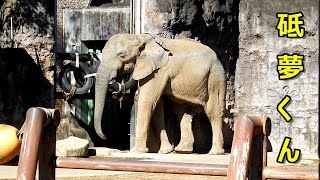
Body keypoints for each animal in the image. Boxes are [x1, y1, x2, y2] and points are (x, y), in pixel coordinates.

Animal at [94, 33, 226, 155]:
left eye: (121, 55)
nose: (106, 137)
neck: (139, 37)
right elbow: (157, 107)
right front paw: (165, 151)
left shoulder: (158, 71)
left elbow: (147, 100)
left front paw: (137, 151)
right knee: (181, 111)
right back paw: (182, 150)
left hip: (215, 76)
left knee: (213, 110)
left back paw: (215, 152)